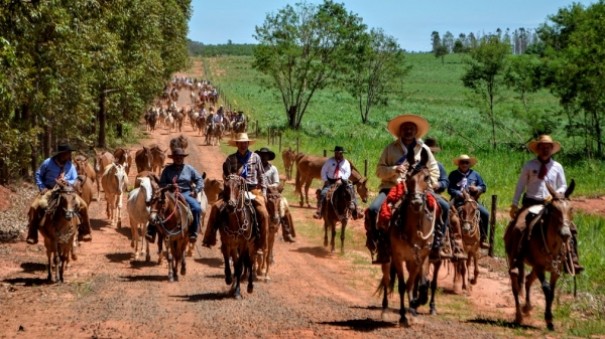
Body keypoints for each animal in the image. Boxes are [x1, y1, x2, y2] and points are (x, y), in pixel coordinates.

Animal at [376, 167, 436, 326]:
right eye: (408, 179)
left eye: (427, 177)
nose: (416, 202)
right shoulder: (398, 257)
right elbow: (402, 286)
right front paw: (403, 316)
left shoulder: (421, 258)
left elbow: (418, 284)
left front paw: (414, 306)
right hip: (386, 259)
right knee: (386, 280)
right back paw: (385, 310)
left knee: (410, 283)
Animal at [502, 182, 572, 330]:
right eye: (554, 210)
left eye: (571, 209)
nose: (565, 233)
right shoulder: (540, 267)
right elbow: (546, 289)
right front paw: (548, 318)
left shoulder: (555, 271)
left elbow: (552, 291)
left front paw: (550, 321)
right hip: (515, 261)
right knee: (515, 283)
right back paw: (519, 316)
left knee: (528, 279)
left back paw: (527, 307)